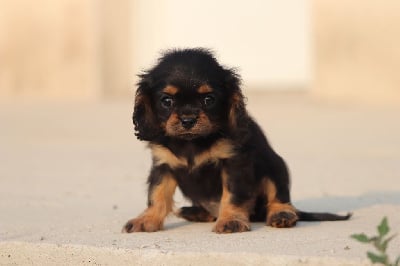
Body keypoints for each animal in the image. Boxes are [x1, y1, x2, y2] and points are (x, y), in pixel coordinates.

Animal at [122, 48, 350, 234]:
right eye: (166, 101)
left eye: (209, 99)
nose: (188, 120)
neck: (192, 142)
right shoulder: (163, 165)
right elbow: (157, 194)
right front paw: (146, 220)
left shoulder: (234, 162)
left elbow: (233, 194)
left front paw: (230, 220)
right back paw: (195, 212)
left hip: (275, 166)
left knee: (280, 196)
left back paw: (282, 214)